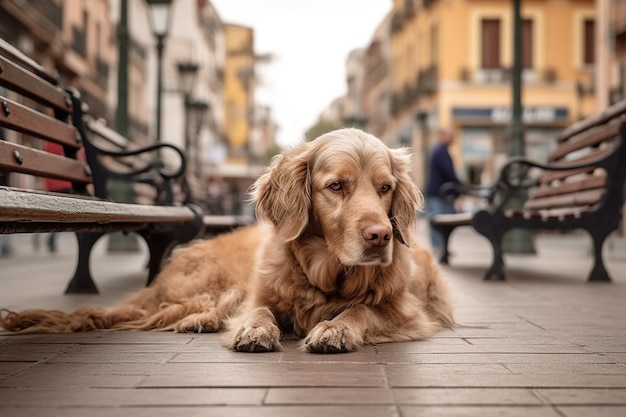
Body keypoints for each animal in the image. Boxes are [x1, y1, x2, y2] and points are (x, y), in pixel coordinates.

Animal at [0, 129, 450, 352]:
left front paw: (335, 328)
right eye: (336, 186)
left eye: (386, 188)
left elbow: (362, 310)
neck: (326, 275)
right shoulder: (258, 295)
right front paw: (253, 330)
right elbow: (259, 311)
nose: (381, 236)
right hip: (209, 285)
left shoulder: (409, 312)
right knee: (145, 310)